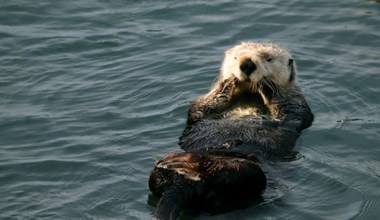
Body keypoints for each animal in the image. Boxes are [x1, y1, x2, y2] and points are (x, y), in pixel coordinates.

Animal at [149, 42, 314, 219]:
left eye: (268, 59)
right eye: (235, 58)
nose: (247, 64)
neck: (251, 98)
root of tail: (189, 183)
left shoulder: (297, 105)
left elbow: (291, 109)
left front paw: (268, 87)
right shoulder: (201, 112)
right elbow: (199, 107)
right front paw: (226, 84)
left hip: (249, 177)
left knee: (238, 174)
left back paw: (189, 161)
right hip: (160, 175)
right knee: (155, 181)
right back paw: (177, 161)